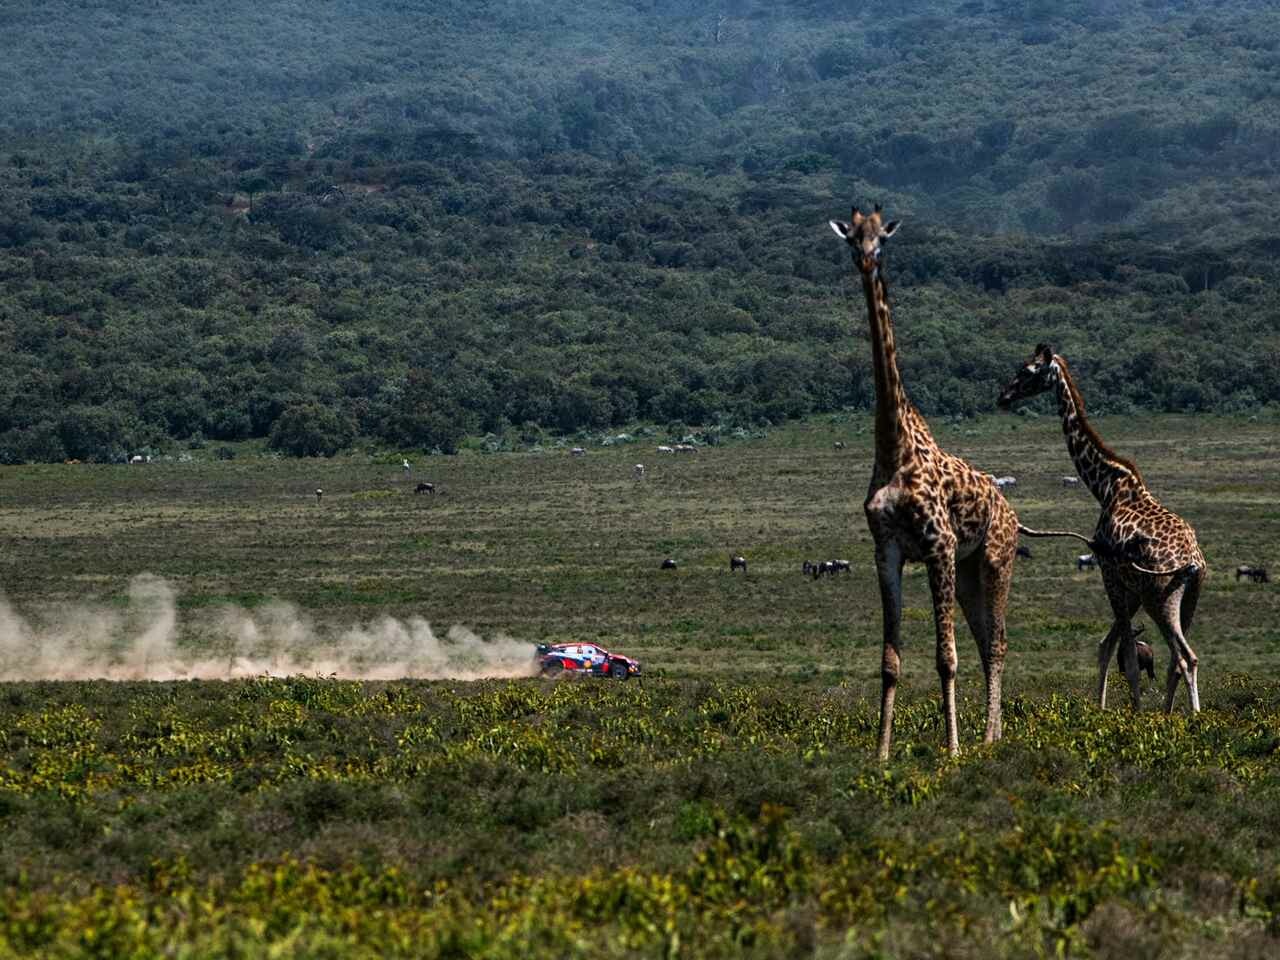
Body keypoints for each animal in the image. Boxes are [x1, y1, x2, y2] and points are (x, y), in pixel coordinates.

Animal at [829, 207, 1018, 762]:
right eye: (852, 238)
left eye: (883, 240)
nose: (866, 260)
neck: (893, 447)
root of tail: (1011, 510)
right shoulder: (887, 549)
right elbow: (890, 661)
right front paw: (881, 751)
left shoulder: (939, 544)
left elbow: (944, 657)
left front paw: (950, 750)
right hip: (971, 570)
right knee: (985, 640)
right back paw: (991, 736)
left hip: (993, 559)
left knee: (996, 642)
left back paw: (985, 740)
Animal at [998, 345, 1208, 716]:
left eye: (1028, 371)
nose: (1003, 396)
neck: (1105, 485)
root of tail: (1193, 563)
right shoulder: (1130, 587)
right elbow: (1107, 646)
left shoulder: (1110, 573)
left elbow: (1127, 654)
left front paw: (1133, 714)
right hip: (1188, 597)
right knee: (1177, 659)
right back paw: (1172, 716)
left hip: (1160, 597)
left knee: (1186, 657)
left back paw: (1193, 718)